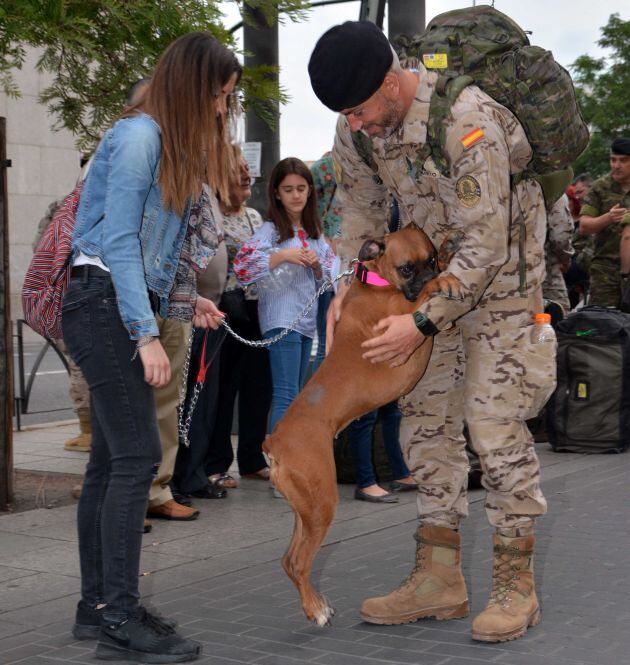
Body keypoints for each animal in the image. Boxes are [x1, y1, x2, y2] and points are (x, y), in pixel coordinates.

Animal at [262, 226, 464, 624]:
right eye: (407, 268)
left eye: (430, 258)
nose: (429, 274)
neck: (377, 282)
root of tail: (274, 441)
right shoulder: (402, 315)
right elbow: (422, 298)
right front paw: (444, 282)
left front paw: (450, 251)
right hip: (323, 502)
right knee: (299, 562)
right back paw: (316, 612)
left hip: (306, 509)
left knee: (290, 559)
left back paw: (317, 604)